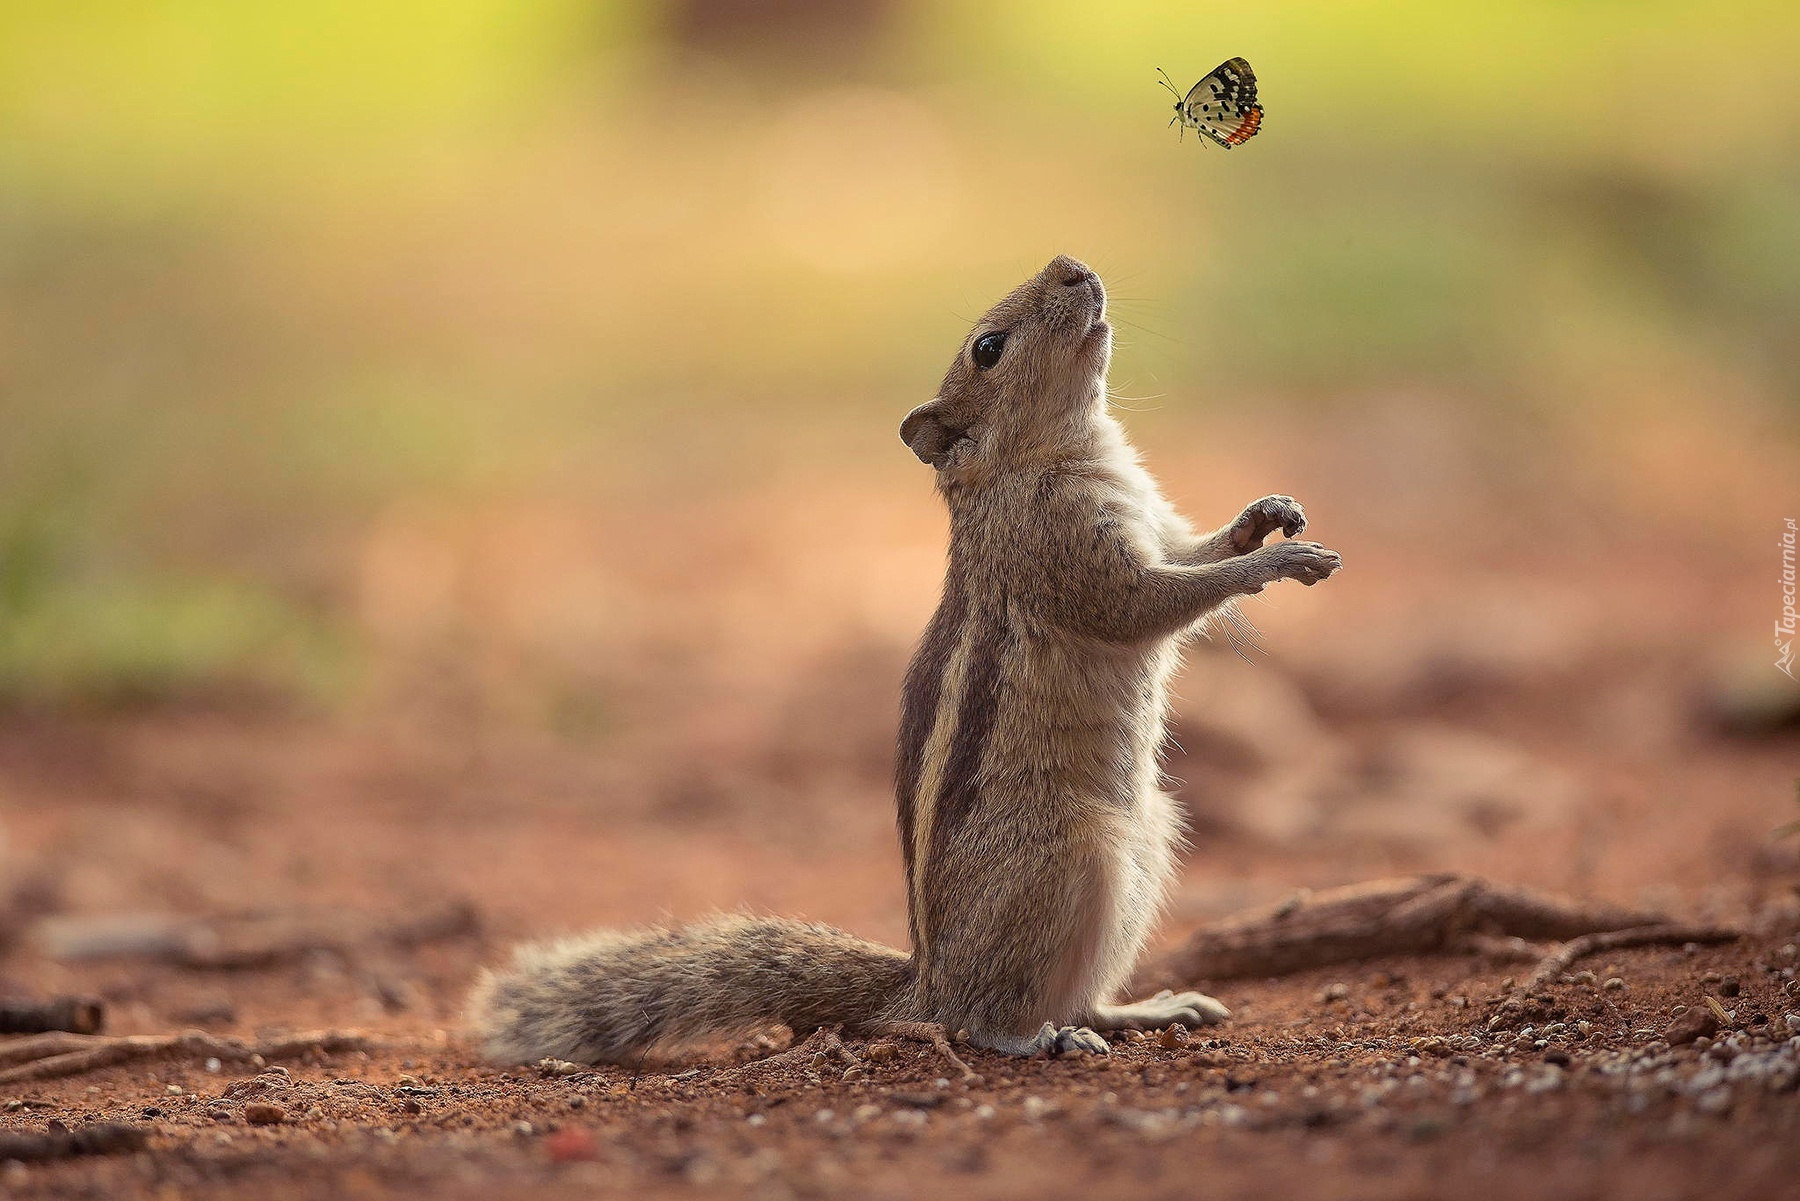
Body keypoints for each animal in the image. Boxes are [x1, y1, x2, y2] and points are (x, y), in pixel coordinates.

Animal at [464, 259, 1339, 1065]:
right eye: (988, 348)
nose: (1073, 267)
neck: (1052, 454)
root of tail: (926, 980)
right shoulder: (1065, 554)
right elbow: (1148, 603)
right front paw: (1272, 563)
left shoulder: (1154, 524)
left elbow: (1194, 551)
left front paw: (1266, 516)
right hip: (1071, 857)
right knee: (983, 1018)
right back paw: (1039, 1036)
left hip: (1150, 840)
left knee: (1078, 992)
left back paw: (1145, 1009)